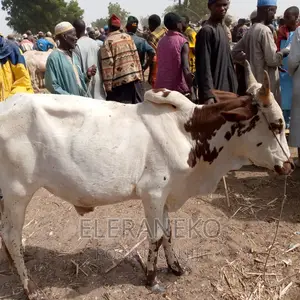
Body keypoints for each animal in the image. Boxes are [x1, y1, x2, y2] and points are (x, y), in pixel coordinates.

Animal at [0, 60, 292, 298]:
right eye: (276, 124)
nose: (289, 165)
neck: (188, 130)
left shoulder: (166, 194)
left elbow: (169, 233)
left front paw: (175, 267)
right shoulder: (153, 193)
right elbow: (156, 237)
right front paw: (151, 279)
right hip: (17, 192)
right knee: (12, 235)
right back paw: (28, 286)